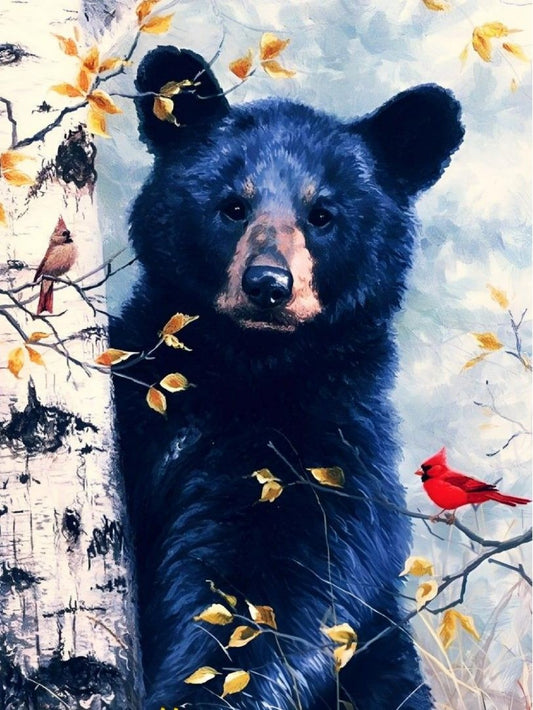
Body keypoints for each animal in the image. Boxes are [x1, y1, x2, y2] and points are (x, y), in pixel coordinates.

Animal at [111, 46, 463, 710]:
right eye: (232, 205)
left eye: (323, 214)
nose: (268, 285)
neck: (242, 368)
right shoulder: (142, 389)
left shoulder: (320, 454)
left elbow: (274, 591)